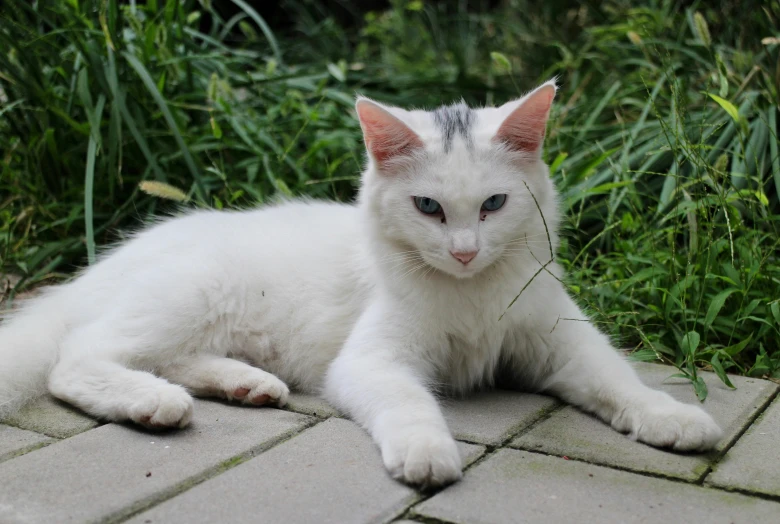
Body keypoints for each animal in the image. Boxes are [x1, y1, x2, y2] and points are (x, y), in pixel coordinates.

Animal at [0, 81, 720, 488]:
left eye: (494, 205)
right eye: (428, 208)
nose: (464, 253)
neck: (472, 294)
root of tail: (103, 267)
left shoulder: (563, 343)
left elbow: (621, 380)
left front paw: (672, 417)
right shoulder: (372, 361)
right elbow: (409, 404)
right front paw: (428, 452)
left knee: (166, 359)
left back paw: (247, 385)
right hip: (185, 296)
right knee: (78, 361)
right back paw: (154, 403)